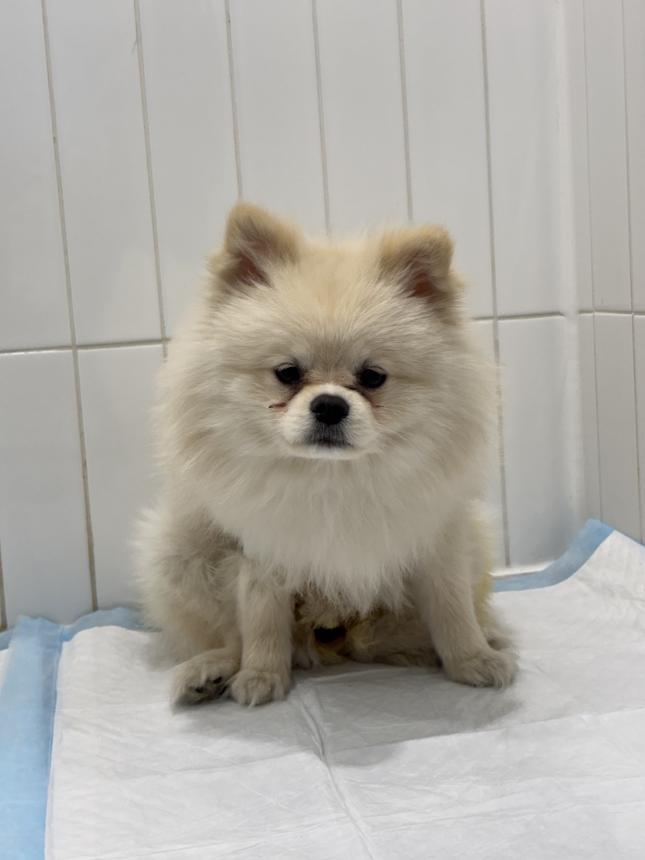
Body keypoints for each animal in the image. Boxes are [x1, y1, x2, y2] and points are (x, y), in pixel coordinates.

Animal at [137, 202, 516, 706]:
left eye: (373, 377)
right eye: (287, 373)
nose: (330, 404)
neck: (331, 477)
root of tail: (330, 634)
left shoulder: (438, 539)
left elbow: (453, 609)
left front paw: (471, 659)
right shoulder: (262, 549)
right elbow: (260, 619)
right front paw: (262, 675)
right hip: (176, 550)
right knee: (232, 636)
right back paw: (212, 670)